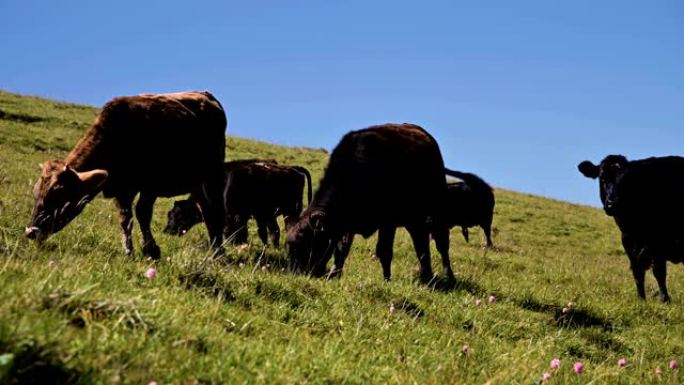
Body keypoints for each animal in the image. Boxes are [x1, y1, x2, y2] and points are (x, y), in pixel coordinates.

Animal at [25, 90, 227, 258]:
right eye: (36, 194)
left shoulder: (150, 185)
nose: (30, 231)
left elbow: (142, 213)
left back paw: (218, 251)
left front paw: (150, 249)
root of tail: (205, 95)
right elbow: (125, 218)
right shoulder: (120, 188)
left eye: (60, 196)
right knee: (205, 208)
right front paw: (129, 251)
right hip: (197, 182)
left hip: (213, 176)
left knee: (215, 210)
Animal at [164, 158, 314, 246]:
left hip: (290, 212)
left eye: (176, 215)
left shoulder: (234, 216)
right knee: (274, 231)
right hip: (273, 215)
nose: (166, 231)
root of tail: (294, 168)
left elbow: (235, 233)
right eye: (169, 214)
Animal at [286, 123, 456, 282]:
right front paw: (333, 275)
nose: (295, 273)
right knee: (421, 244)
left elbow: (384, 251)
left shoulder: (388, 222)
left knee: (441, 244)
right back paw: (426, 276)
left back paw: (449, 277)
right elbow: (341, 250)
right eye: (288, 246)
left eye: (305, 244)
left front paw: (387, 280)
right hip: (414, 219)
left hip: (437, 212)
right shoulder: (347, 222)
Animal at [576, 154, 684, 302]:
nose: (612, 203)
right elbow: (638, 271)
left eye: (625, 181)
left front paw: (664, 299)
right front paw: (641, 299)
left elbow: (658, 271)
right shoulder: (628, 241)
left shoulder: (658, 242)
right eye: (602, 178)